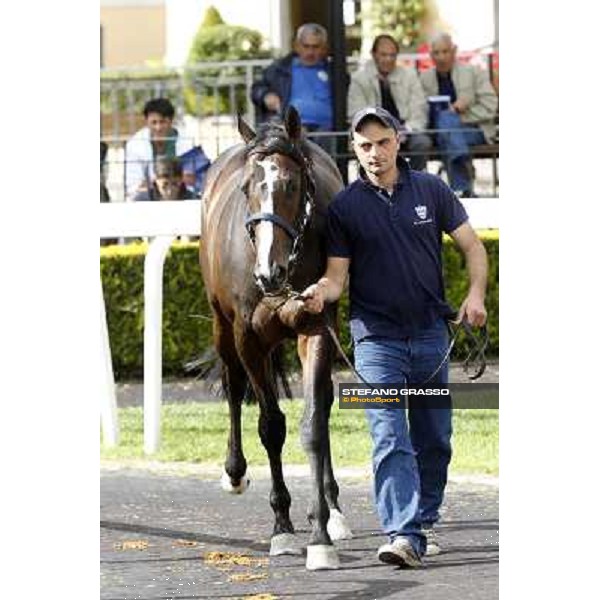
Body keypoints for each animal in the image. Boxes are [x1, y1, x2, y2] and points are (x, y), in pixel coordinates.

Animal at [199, 105, 352, 568]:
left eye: (291, 184)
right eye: (248, 187)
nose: (269, 272)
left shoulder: (315, 325)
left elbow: (313, 423)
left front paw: (321, 533)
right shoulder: (248, 336)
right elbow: (271, 426)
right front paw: (282, 526)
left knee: (322, 402)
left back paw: (333, 507)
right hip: (221, 325)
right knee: (233, 385)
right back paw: (234, 472)